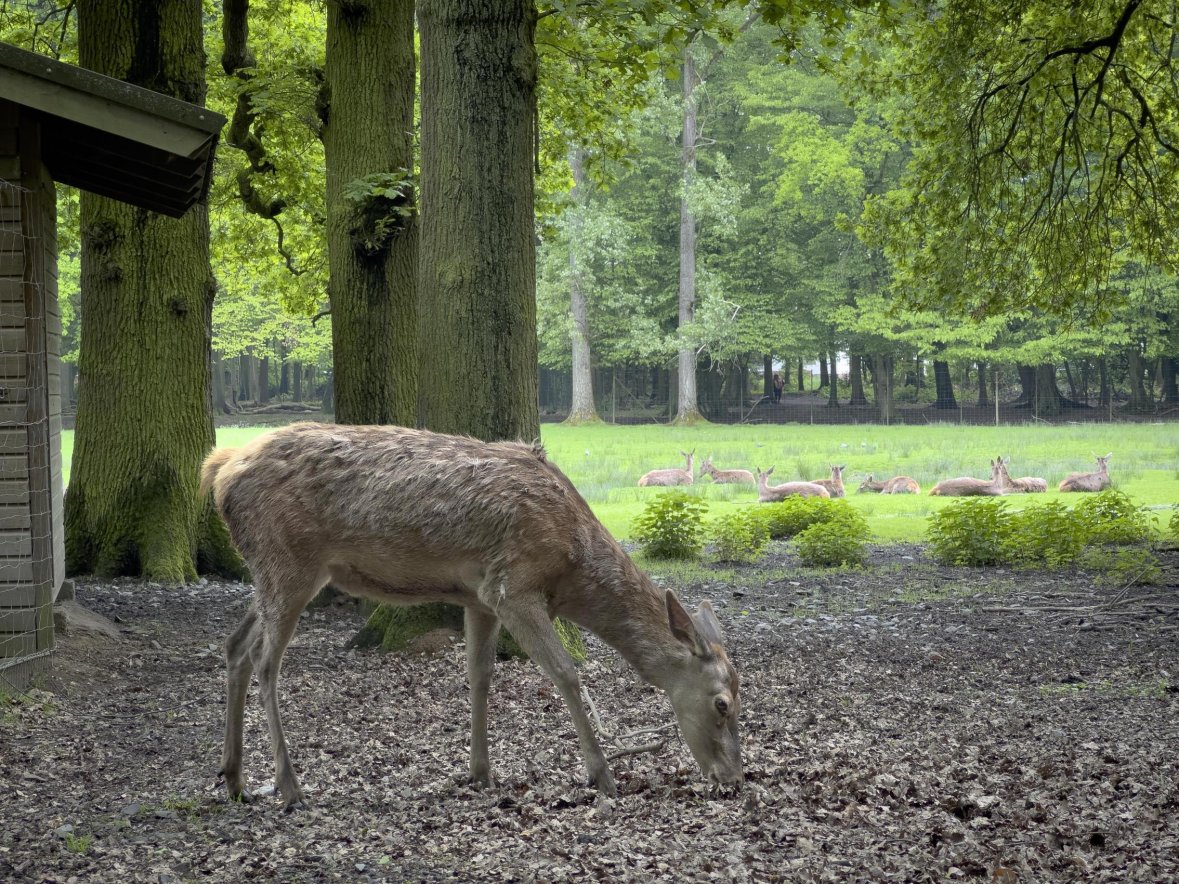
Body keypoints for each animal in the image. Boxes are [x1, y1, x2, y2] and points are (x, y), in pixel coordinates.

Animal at [201, 424, 741, 810]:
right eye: (722, 704)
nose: (735, 778)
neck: (571, 564)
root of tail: (219, 471)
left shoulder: (479, 596)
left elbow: (479, 675)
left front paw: (480, 772)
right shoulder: (513, 586)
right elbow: (565, 672)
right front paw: (603, 775)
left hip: (279, 573)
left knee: (235, 646)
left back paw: (234, 779)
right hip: (288, 562)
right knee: (267, 663)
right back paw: (289, 787)